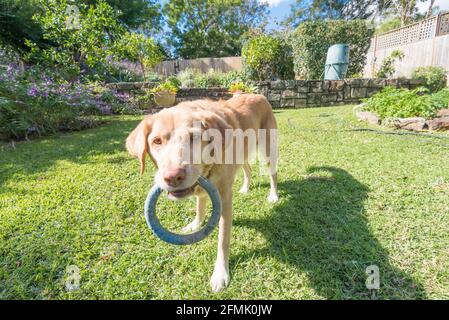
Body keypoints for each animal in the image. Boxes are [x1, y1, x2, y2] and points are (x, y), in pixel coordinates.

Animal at [123, 93, 276, 292]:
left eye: (194, 137)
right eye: (157, 141)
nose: (173, 177)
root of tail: (257, 94)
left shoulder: (225, 198)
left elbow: (223, 240)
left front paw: (220, 273)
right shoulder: (203, 187)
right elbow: (199, 206)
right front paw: (195, 224)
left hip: (268, 150)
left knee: (273, 174)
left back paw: (274, 195)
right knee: (247, 169)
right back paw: (245, 188)